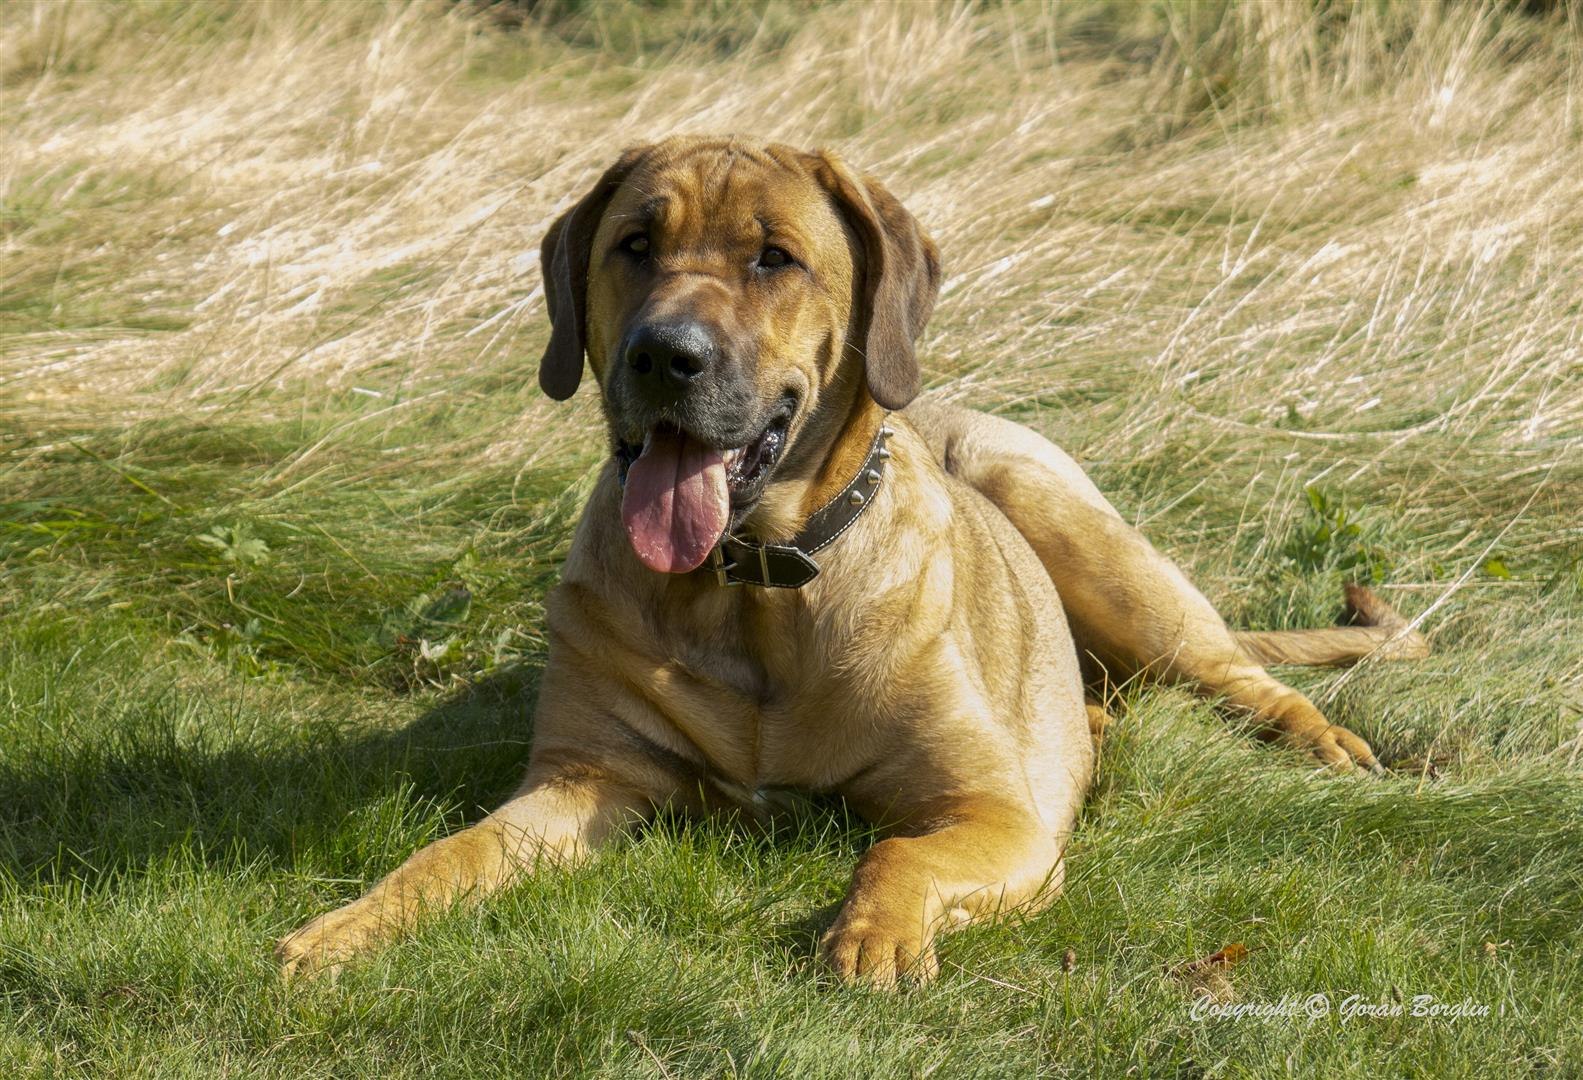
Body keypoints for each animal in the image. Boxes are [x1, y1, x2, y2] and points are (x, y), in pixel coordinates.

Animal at [278, 134, 1431, 981]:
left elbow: (893, 849)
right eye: (634, 244)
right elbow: (453, 853)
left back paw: (1320, 738)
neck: (748, 590)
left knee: (1237, 674)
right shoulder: (585, 779)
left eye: (773, 258)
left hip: (1076, 533)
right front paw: (348, 926)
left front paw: (872, 934)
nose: (663, 355)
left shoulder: (994, 813)